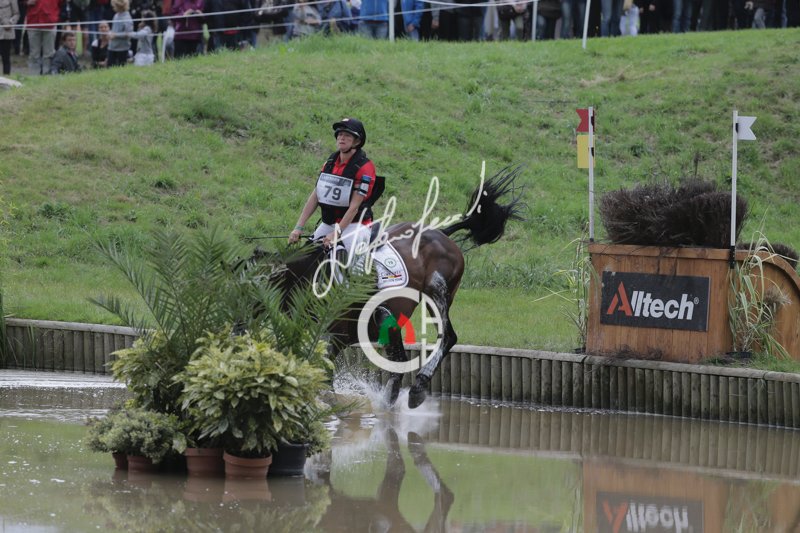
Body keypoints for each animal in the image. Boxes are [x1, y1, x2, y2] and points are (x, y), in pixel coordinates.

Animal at [274, 166, 525, 409]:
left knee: (447, 337)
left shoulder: (343, 330)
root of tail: (441, 233)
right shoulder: (337, 336)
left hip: (436, 291)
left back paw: (418, 387)